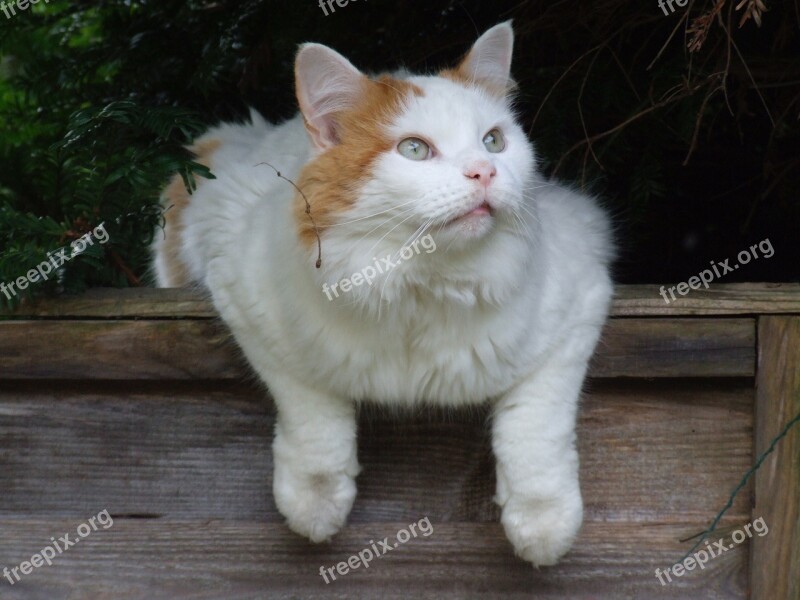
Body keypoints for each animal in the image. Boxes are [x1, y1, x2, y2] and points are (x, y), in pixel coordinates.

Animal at [152, 22, 612, 568]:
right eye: (414, 150)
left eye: (494, 141)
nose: (485, 171)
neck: (419, 283)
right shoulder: (245, 298)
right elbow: (312, 413)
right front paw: (315, 504)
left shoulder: (581, 297)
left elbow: (536, 427)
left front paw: (542, 527)